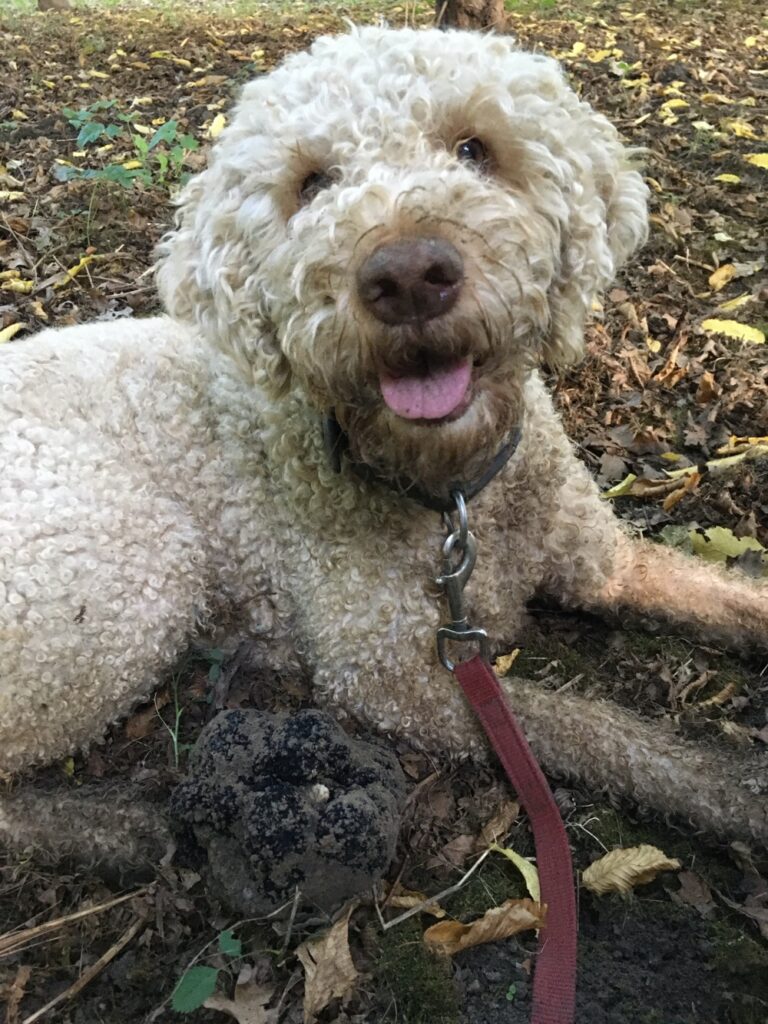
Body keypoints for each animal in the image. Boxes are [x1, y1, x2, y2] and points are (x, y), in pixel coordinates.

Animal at [1, 28, 768, 856]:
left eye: (474, 148)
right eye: (311, 184)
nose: (406, 276)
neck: (455, 490)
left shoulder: (606, 563)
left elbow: (725, 599)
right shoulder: (389, 679)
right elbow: (594, 731)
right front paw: (733, 791)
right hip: (131, 570)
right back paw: (114, 829)